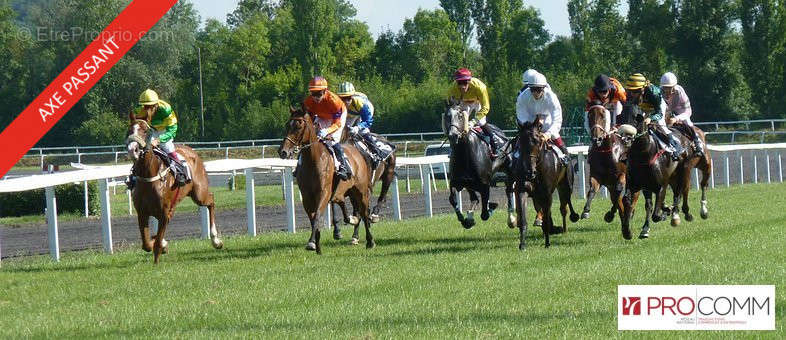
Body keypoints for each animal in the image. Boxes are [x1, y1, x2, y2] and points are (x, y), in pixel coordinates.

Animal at [125, 118, 222, 264]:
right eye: (129, 130)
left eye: (145, 131)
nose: (133, 150)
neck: (149, 176)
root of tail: (191, 150)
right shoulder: (142, 213)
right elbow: (146, 244)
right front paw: (162, 245)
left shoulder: (163, 212)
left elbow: (157, 243)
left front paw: (157, 259)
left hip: (199, 194)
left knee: (211, 200)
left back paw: (215, 240)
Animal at [278, 107, 376, 254]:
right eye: (287, 125)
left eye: (299, 126)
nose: (283, 151)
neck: (313, 160)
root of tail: (357, 152)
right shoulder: (307, 196)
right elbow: (313, 217)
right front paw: (315, 243)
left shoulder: (323, 192)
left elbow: (318, 214)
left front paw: (312, 242)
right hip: (345, 191)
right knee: (343, 203)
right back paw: (350, 220)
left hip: (361, 191)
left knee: (364, 213)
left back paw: (369, 241)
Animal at [440, 99, 516, 230]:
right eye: (447, 116)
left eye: (460, 116)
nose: (453, 135)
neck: (465, 154)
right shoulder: (457, 182)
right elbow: (452, 199)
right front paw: (466, 220)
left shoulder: (485, 185)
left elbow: (485, 213)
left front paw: (492, 206)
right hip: (469, 184)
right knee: (474, 198)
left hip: (509, 170)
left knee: (509, 190)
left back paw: (511, 218)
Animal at [512, 115, 580, 248]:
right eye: (520, 141)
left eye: (537, 141)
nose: (529, 172)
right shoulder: (523, 190)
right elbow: (523, 218)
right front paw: (522, 244)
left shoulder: (547, 194)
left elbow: (547, 216)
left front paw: (547, 243)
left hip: (565, 186)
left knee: (564, 208)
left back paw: (564, 229)